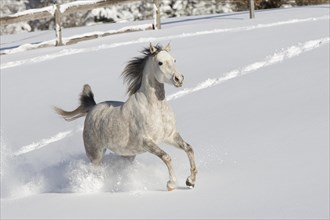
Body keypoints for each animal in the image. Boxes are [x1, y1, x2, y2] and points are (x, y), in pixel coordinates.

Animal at [55, 43, 197, 191]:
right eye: (160, 62)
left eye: (174, 60)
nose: (179, 79)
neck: (155, 108)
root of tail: (92, 108)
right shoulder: (147, 142)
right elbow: (166, 157)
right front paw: (171, 184)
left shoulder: (170, 136)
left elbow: (189, 148)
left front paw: (190, 181)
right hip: (96, 155)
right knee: (95, 171)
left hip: (127, 155)